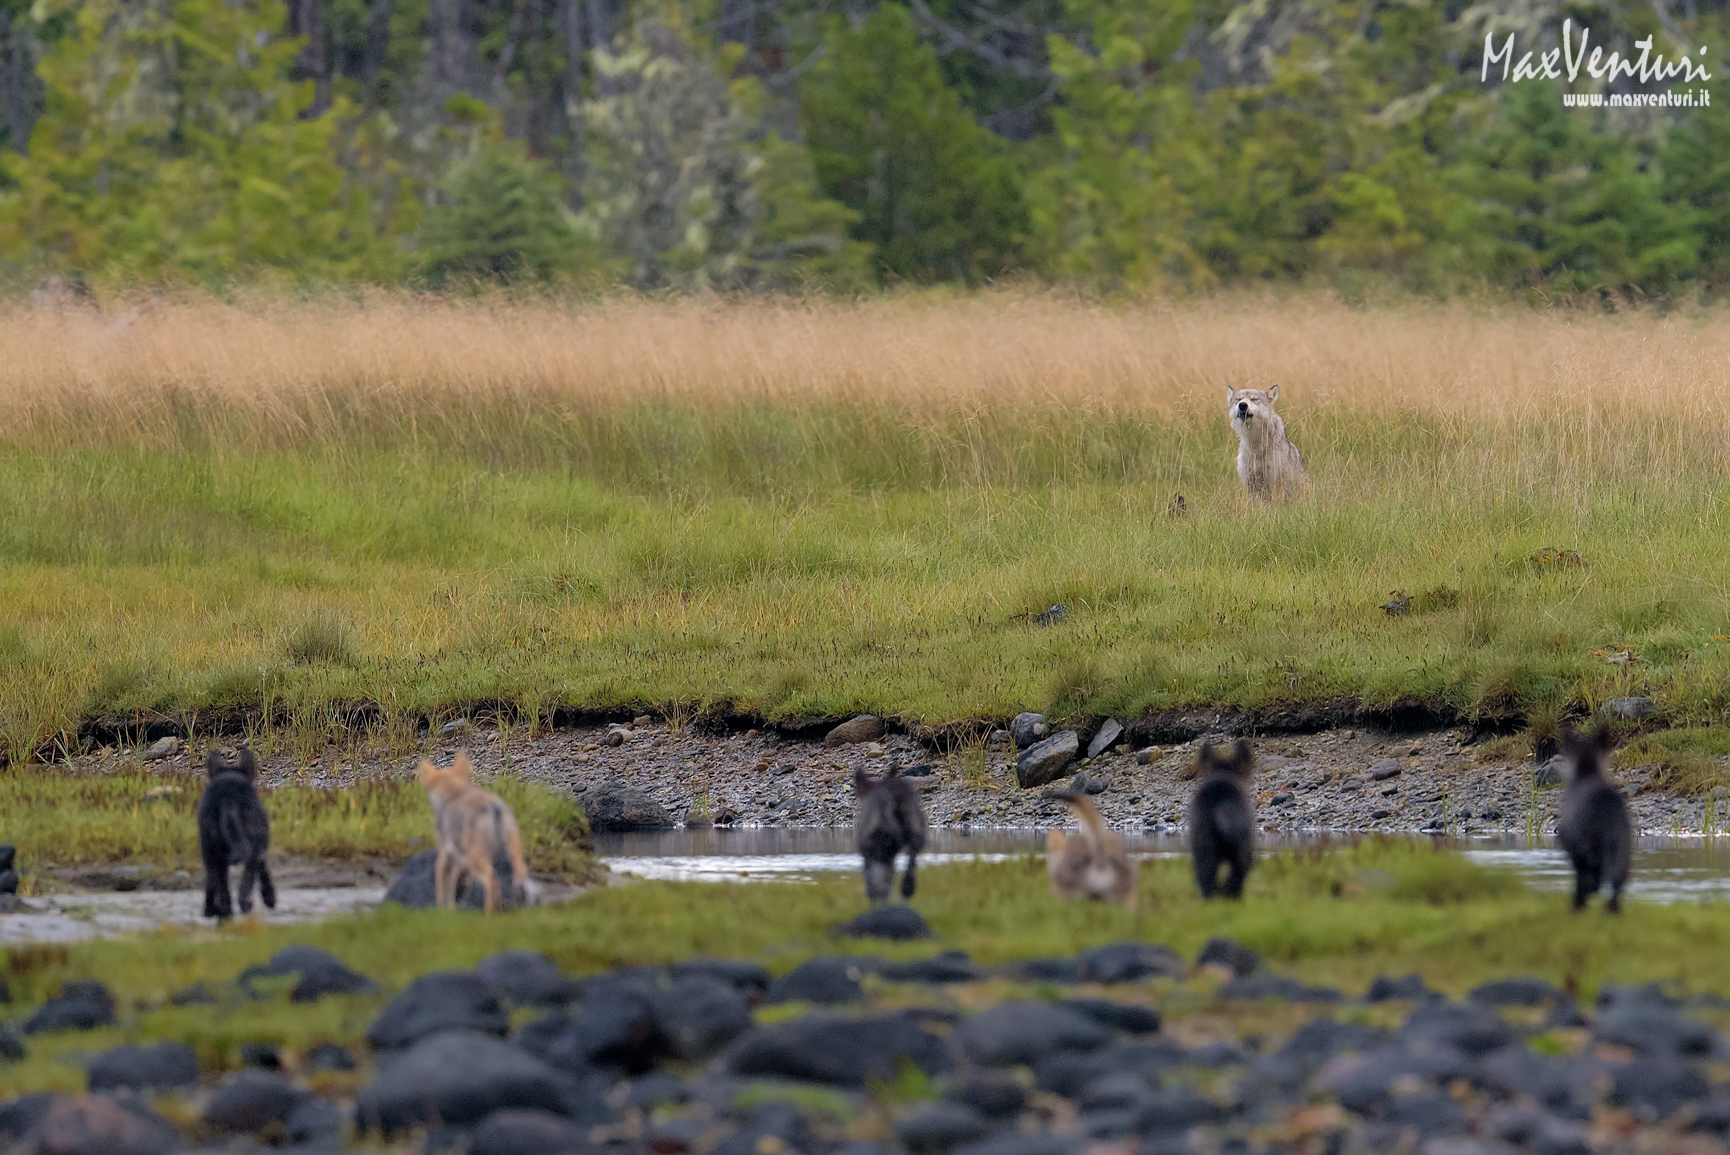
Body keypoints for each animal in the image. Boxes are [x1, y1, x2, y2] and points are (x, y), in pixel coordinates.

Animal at [197, 747, 276, 921]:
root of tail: (228, 800)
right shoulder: (261, 843)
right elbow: (263, 866)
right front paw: (269, 898)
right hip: (252, 843)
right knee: (246, 880)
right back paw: (245, 906)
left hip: (210, 848)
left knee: (220, 887)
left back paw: (220, 913)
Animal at [417, 753, 531, 914]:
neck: (453, 791)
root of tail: (493, 806)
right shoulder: (459, 860)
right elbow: (453, 889)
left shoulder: (445, 854)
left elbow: (442, 889)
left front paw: (443, 913)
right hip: (514, 856)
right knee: (520, 877)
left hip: (477, 858)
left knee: (491, 879)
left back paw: (489, 914)